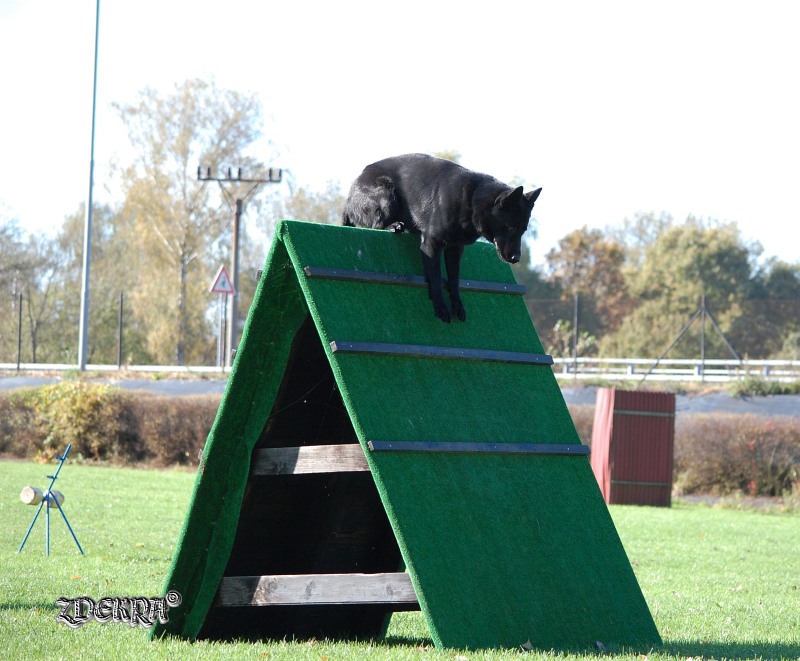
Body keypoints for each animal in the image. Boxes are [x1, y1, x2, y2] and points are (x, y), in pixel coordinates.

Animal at [340, 153, 540, 322]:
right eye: (510, 227)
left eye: (523, 230)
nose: (516, 258)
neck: (472, 200)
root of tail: (350, 196)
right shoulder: (431, 244)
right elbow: (436, 278)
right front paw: (441, 308)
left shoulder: (455, 248)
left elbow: (454, 279)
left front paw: (457, 305)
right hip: (386, 193)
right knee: (376, 224)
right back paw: (394, 226)